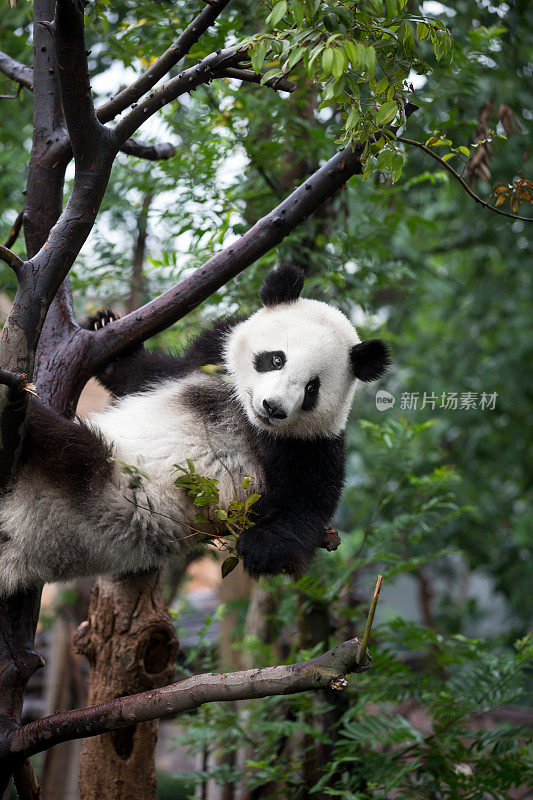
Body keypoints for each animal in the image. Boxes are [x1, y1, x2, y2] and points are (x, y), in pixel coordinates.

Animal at [0, 266, 388, 596]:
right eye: (276, 359)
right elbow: (149, 373)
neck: (245, 414)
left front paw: (262, 549)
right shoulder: (206, 359)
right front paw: (106, 329)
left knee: (68, 446)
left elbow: (307, 504)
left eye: (311, 388)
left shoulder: (310, 444)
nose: (273, 408)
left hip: (98, 498)